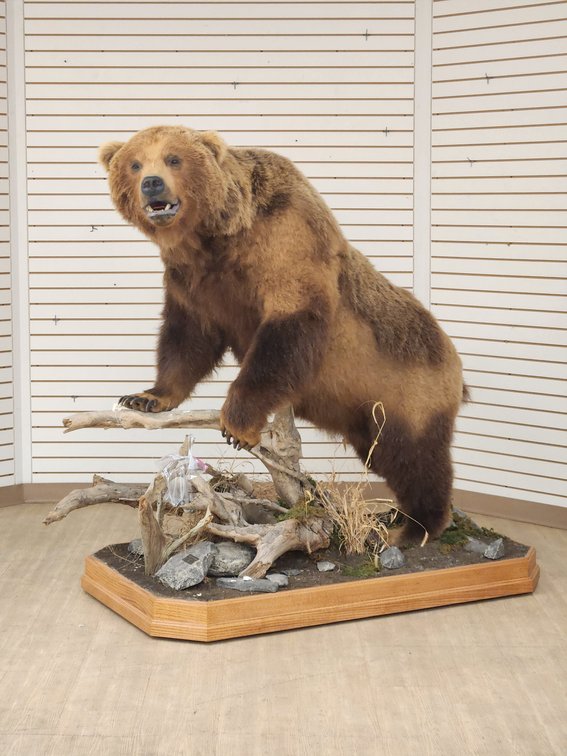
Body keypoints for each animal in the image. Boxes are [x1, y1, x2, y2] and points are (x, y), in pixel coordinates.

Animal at [99, 125, 466, 542]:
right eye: (134, 163)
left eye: (173, 158)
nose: (152, 183)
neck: (215, 239)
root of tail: (456, 364)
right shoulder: (192, 282)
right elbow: (187, 339)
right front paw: (147, 396)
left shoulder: (287, 243)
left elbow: (285, 333)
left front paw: (237, 423)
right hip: (366, 415)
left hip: (408, 394)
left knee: (415, 459)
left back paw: (417, 525)